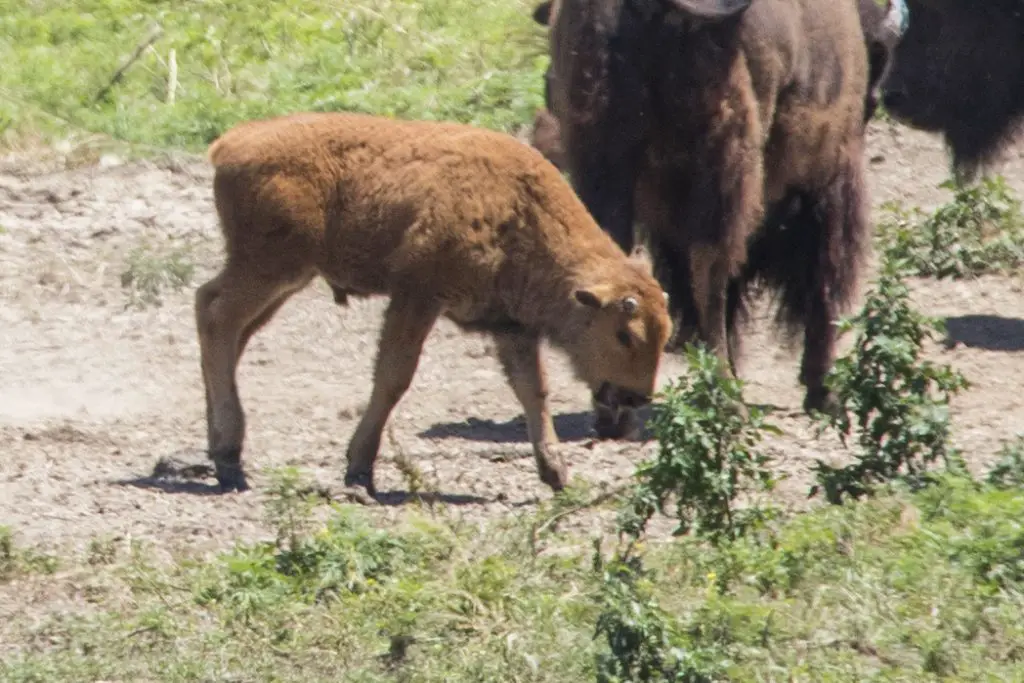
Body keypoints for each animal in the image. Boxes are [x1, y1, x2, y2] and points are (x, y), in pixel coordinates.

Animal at [193, 111, 671, 497]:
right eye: (625, 334)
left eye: (664, 336)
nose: (635, 397)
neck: (520, 210)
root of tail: (231, 143)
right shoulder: (418, 298)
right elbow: (393, 377)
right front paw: (359, 472)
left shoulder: (511, 328)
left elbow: (532, 389)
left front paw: (556, 472)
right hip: (272, 269)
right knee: (216, 315)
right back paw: (230, 460)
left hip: (284, 280)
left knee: (227, 329)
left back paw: (220, 451)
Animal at [536, 0, 872, 413]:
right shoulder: (828, 177)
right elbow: (822, 287)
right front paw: (823, 389)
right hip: (727, 162)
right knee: (711, 272)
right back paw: (727, 395)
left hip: (600, 158)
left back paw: (613, 404)